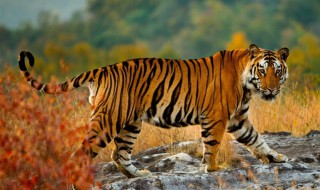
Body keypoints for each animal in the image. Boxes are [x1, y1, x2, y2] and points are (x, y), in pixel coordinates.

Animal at [18, 44, 288, 178]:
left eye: (278, 71)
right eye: (263, 70)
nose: (272, 90)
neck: (247, 84)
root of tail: (102, 69)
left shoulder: (238, 119)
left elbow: (256, 139)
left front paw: (276, 157)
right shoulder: (216, 117)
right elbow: (212, 145)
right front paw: (212, 169)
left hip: (130, 123)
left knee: (119, 154)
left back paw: (139, 175)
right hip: (107, 121)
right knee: (80, 154)